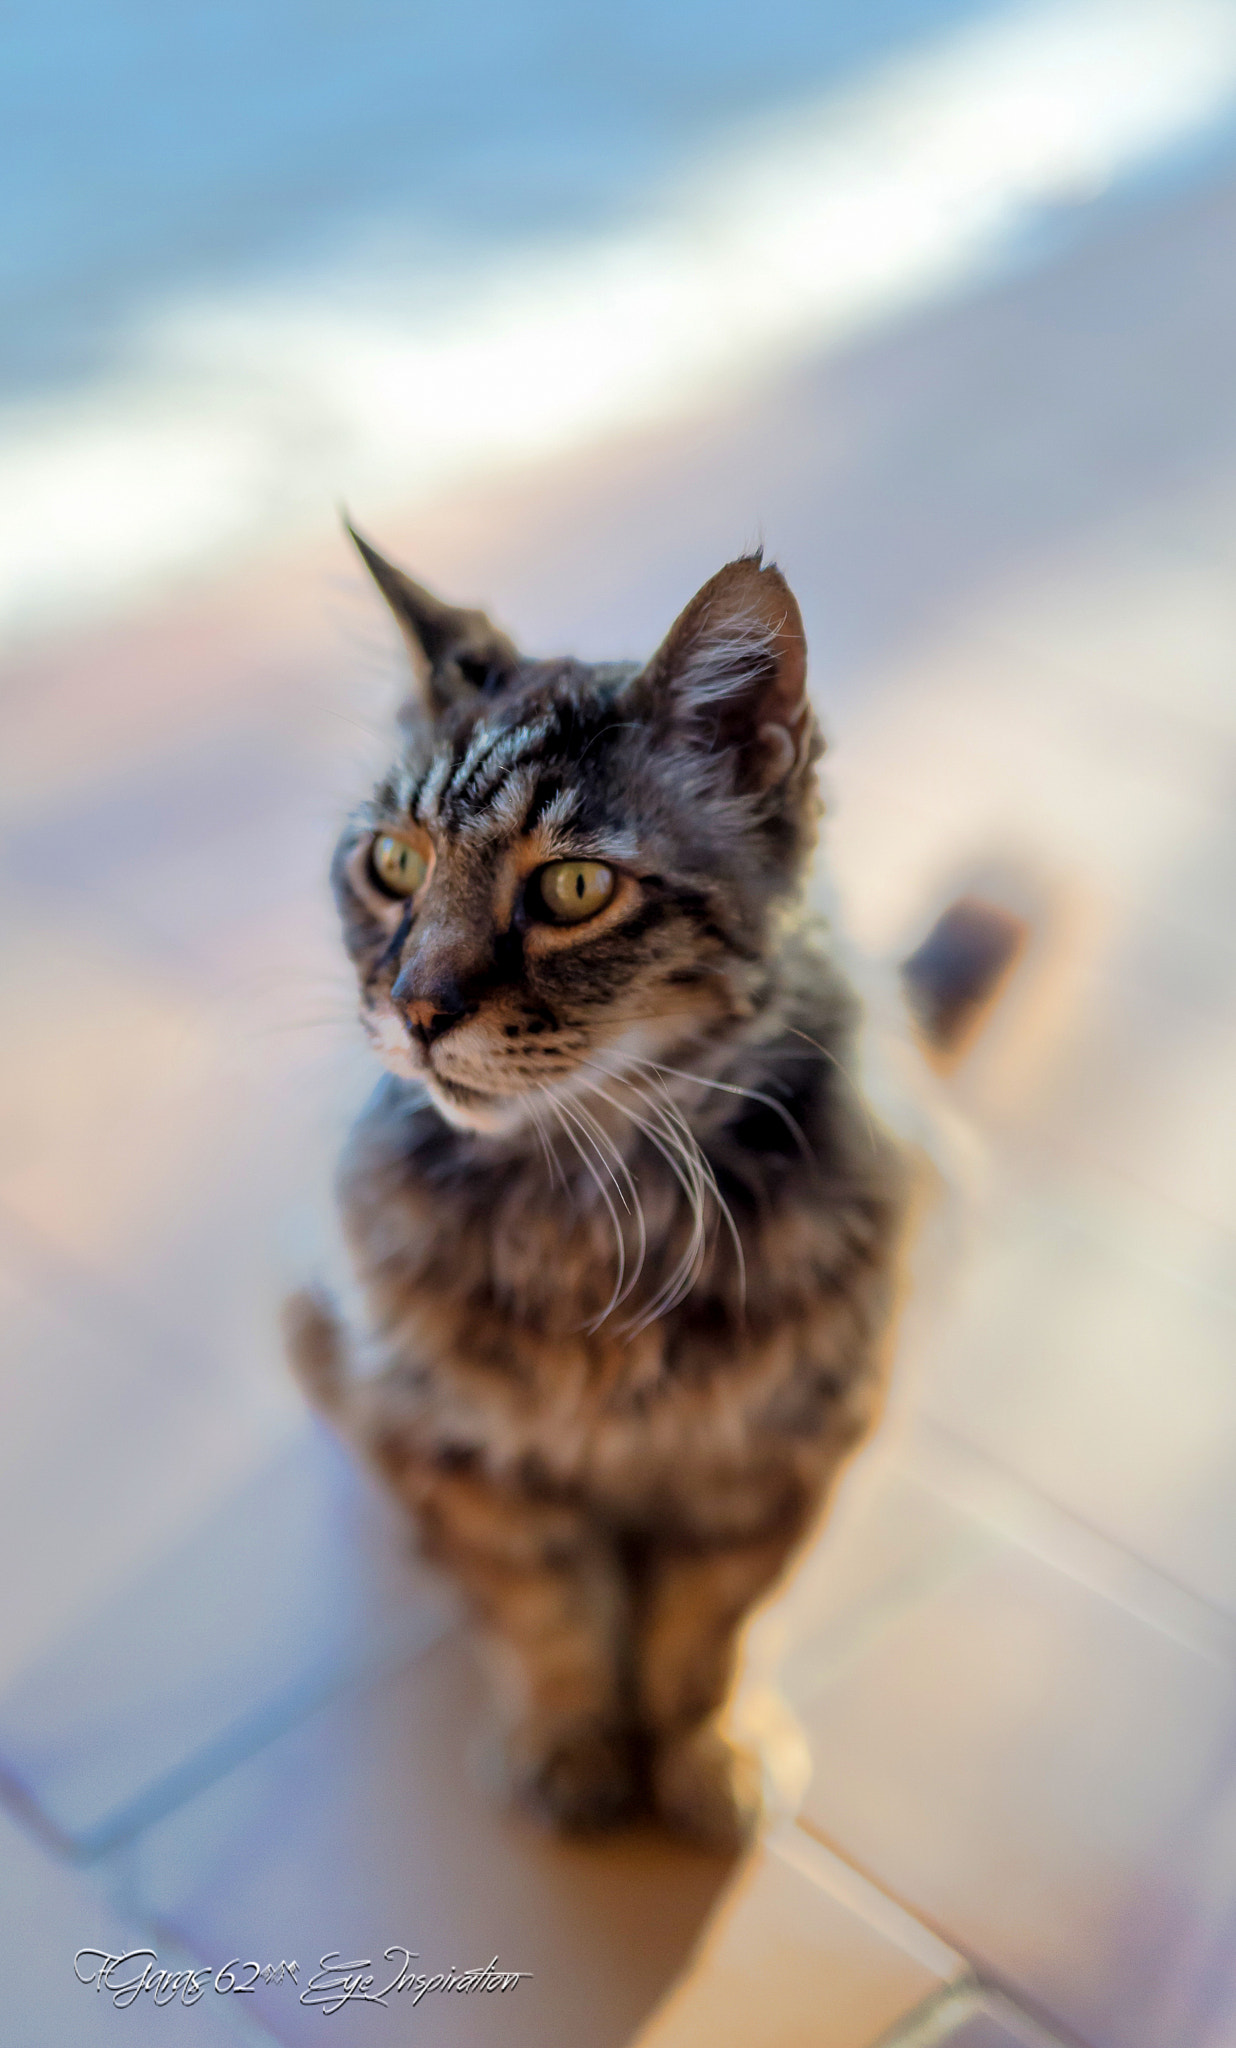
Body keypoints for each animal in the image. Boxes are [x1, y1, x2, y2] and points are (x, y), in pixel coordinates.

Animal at [286, 528, 908, 1843]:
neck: (596, 1209)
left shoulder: (787, 1445)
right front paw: (570, 1741)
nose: (415, 1007)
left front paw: (706, 1747)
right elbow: (546, 1611)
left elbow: (707, 1625)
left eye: (574, 888)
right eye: (393, 862)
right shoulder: (451, 1443)